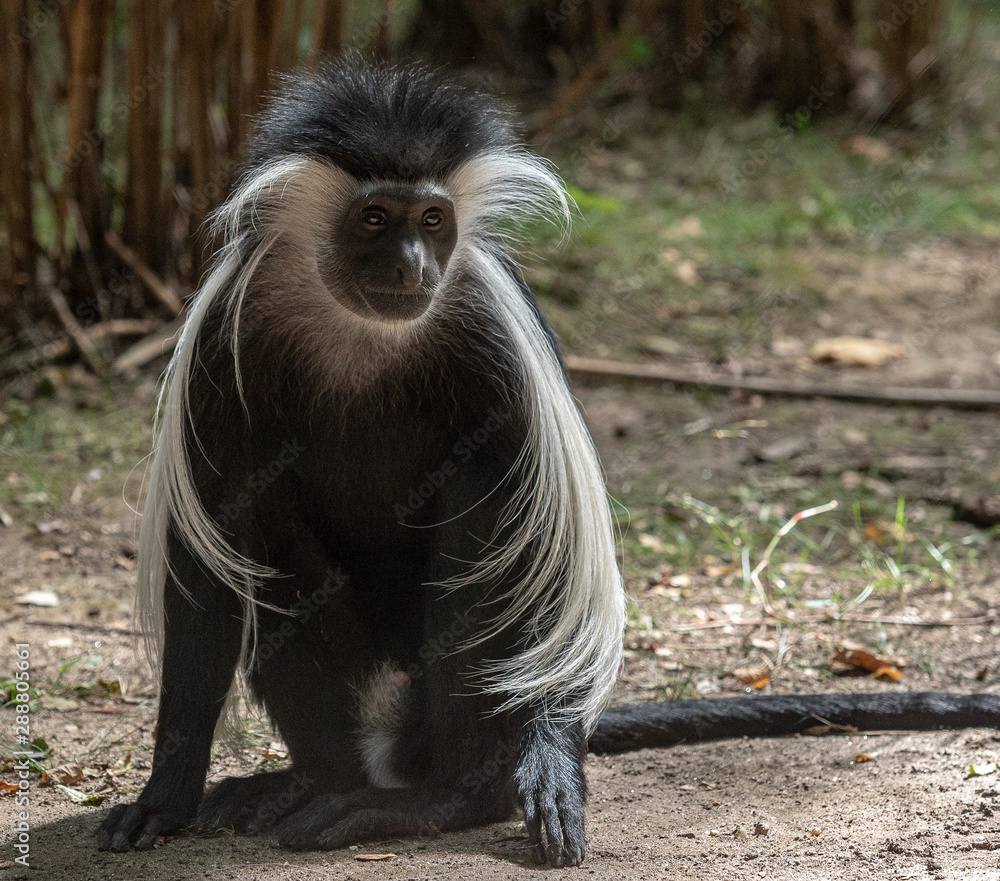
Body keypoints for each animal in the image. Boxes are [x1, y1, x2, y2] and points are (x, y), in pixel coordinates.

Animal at [97, 59, 998, 866]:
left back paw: (439, 800)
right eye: (374, 218)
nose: (412, 267)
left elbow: (546, 564)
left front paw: (549, 771)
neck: (362, 335)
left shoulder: (495, 338)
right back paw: (313, 783)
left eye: (432, 220)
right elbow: (207, 566)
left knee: (486, 542)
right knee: (274, 540)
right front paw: (163, 799)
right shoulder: (222, 340)